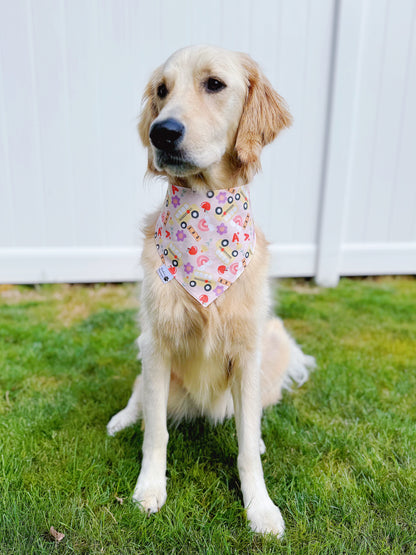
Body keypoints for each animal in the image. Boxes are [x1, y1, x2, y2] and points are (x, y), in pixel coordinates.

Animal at [107, 44, 316, 540]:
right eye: (162, 91)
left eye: (214, 84)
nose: (161, 133)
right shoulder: (157, 343)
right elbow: (155, 432)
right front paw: (149, 489)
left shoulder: (247, 348)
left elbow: (244, 447)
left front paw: (260, 507)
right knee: (139, 397)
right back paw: (122, 418)